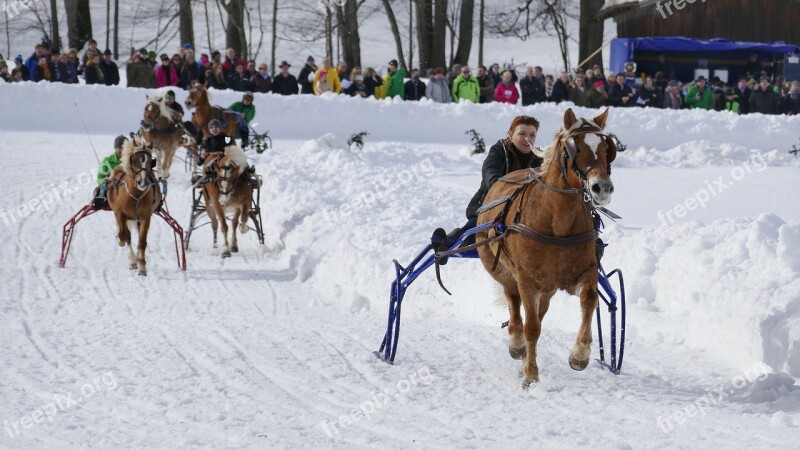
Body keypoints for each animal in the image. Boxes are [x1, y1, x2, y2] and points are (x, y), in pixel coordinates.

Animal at [106, 135, 162, 276]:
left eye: (151, 161)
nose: (142, 182)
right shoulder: (120, 214)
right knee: (127, 236)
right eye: (135, 160)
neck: (136, 195)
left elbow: (142, 242)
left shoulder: (145, 217)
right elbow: (124, 236)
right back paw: (132, 260)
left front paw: (142, 267)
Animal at [478, 107, 616, 388]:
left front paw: (580, 355)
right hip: (501, 270)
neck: (557, 222)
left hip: (549, 287)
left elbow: (590, 299)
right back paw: (517, 344)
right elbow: (530, 327)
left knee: (538, 314)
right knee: (515, 306)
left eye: (607, 148)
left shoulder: (585, 271)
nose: (602, 188)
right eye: (574, 148)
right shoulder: (526, 278)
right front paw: (530, 374)